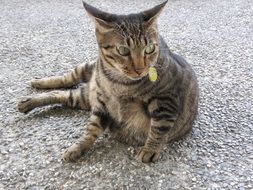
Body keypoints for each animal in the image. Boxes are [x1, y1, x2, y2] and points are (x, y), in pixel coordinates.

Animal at [17, 0, 200, 163]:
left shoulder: (167, 101)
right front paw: (78, 147)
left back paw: (28, 101)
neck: (118, 82)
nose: (141, 69)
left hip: (82, 97)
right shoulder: (101, 103)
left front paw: (150, 150)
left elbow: (158, 128)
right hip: (87, 72)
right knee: (65, 80)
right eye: (123, 50)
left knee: (63, 94)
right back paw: (37, 85)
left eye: (150, 48)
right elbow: (91, 129)